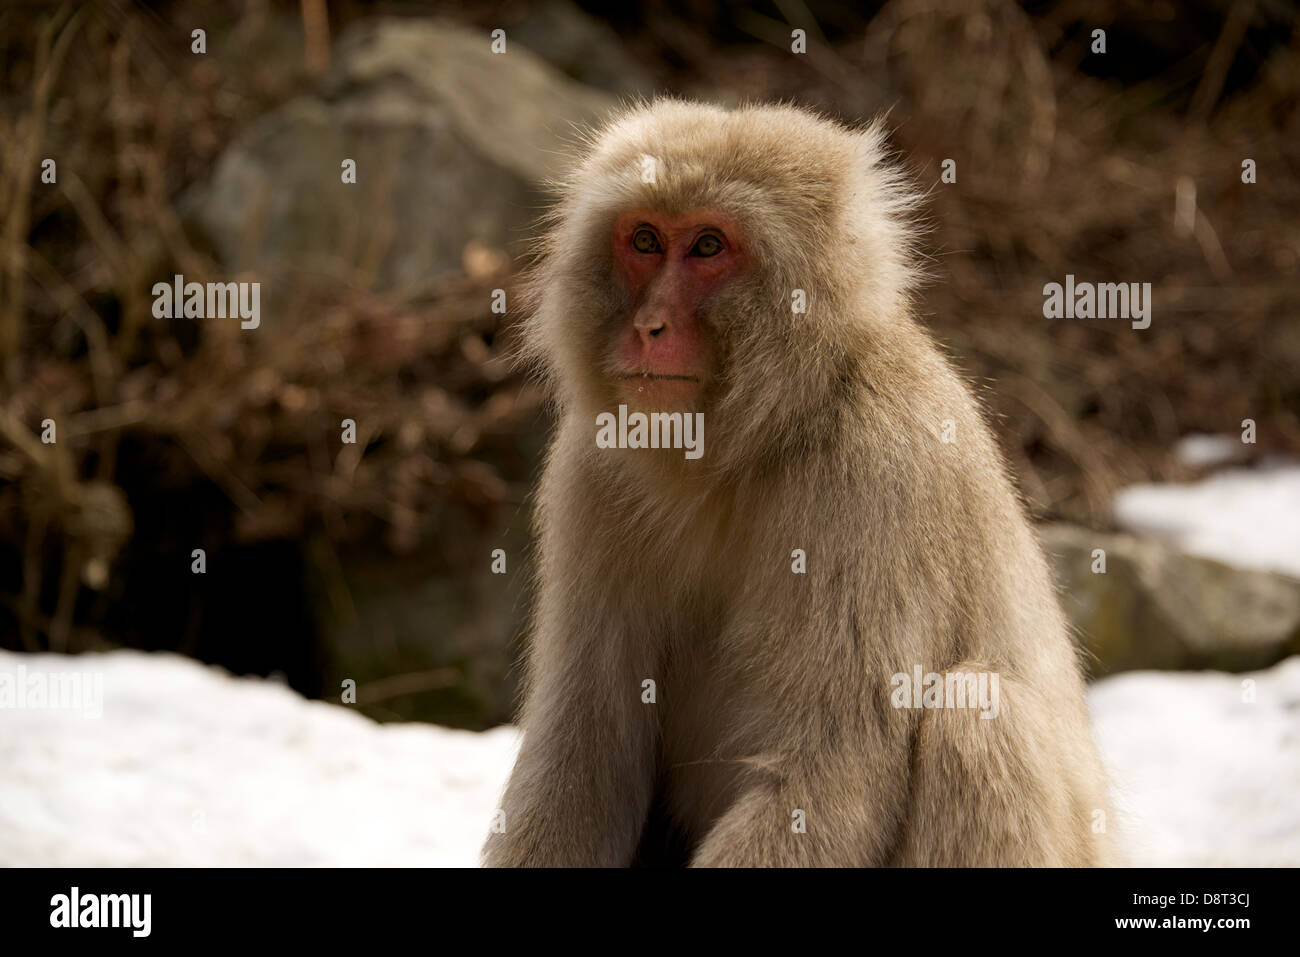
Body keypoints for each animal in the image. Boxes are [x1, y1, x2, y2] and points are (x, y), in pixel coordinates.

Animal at [483, 98, 1112, 868]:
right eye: (645, 239)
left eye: (708, 247)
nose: (648, 326)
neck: (742, 449)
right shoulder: (591, 465)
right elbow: (583, 756)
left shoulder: (880, 468)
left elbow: (832, 770)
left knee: (982, 719)